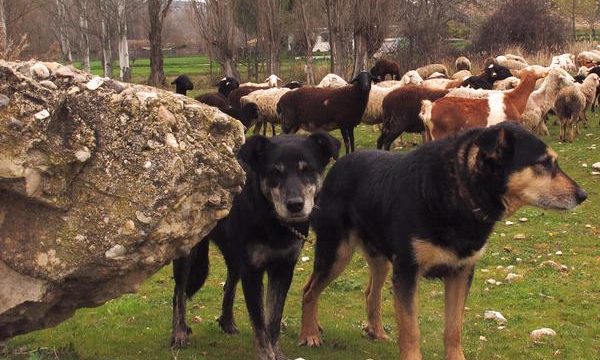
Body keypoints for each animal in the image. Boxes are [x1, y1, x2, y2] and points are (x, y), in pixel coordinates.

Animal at [171, 132, 340, 360]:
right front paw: (266, 354)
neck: (271, 218)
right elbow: (259, 321)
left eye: (307, 170)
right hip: (189, 252)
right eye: (275, 172)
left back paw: (227, 322)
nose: (295, 205)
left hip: (234, 256)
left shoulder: (283, 268)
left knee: (229, 284)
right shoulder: (253, 270)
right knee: (178, 292)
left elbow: (273, 319)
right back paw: (179, 332)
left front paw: (277, 352)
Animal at [298, 123, 584, 360]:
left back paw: (376, 331)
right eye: (544, 163)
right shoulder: (408, 272)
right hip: (336, 253)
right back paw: (309, 333)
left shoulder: (460, 272)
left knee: (371, 292)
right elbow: (411, 331)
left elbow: (453, 328)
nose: (583, 195)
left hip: (381, 260)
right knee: (309, 290)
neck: (461, 191)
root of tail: (338, 165)